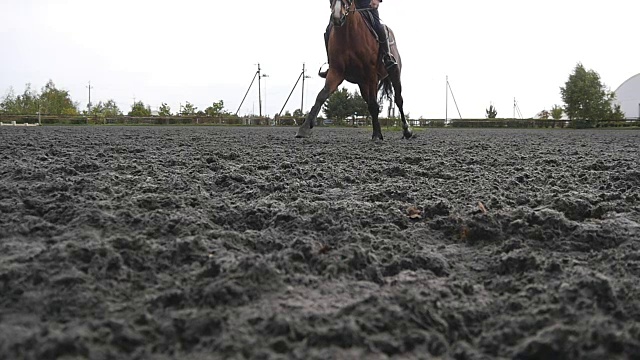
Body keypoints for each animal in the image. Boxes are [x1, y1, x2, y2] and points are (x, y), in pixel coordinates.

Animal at [298, 0, 412, 140]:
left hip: (393, 74)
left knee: (398, 100)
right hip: (363, 84)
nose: (337, 17)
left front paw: (377, 134)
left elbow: (375, 104)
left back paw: (406, 131)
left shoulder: (371, 73)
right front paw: (304, 128)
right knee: (371, 103)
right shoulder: (336, 72)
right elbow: (321, 96)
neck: (348, 35)